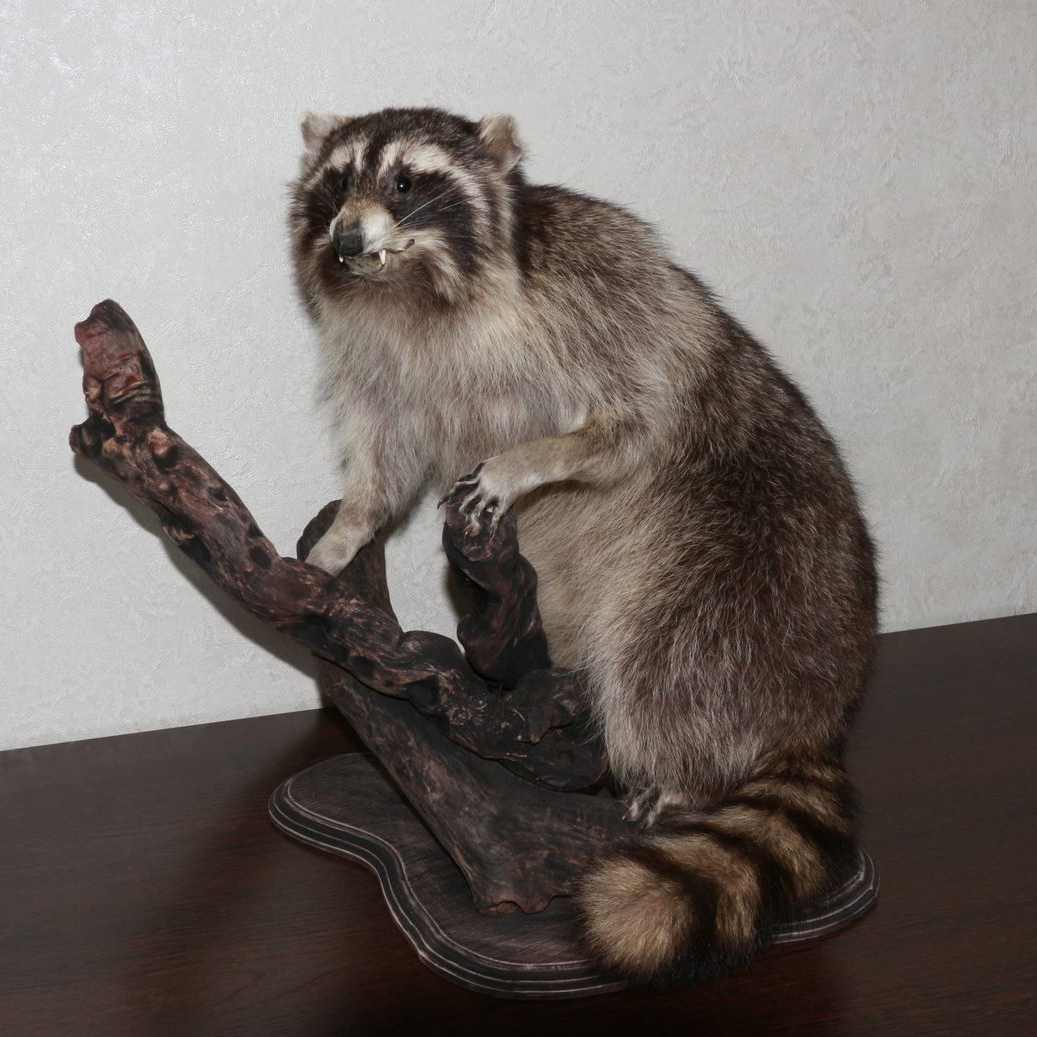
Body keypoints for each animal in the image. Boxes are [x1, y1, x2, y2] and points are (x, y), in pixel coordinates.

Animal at [289, 107, 878, 986]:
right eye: (335, 183)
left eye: (403, 181)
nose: (347, 239)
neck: (416, 288)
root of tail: (813, 708)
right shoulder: (382, 365)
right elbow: (386, 455)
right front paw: (349, 527)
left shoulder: (598, 289)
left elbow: (629, 422)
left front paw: (527, 459)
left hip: (753, 549)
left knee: (669, 652)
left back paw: (680, 771)